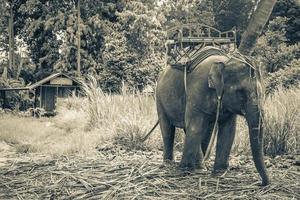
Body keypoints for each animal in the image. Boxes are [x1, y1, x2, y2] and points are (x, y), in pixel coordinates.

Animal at [156, 47, 270, 186]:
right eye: (241, 93)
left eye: (263, 92)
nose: (261, 183)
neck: (225, 61)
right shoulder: (197, 90)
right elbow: (195, 127)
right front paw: (188, 170)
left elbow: (228, 130)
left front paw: (219, 173)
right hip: (159, 98)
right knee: (168, 129)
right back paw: (171, 164)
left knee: (204, 131)